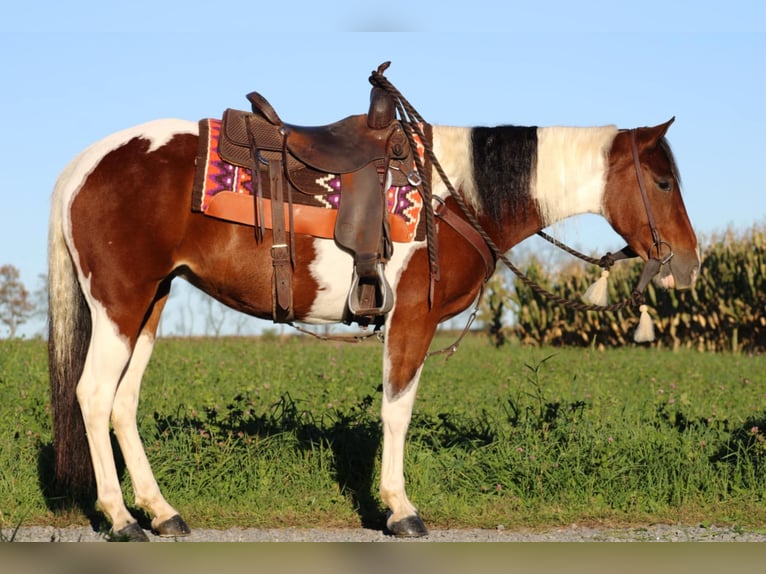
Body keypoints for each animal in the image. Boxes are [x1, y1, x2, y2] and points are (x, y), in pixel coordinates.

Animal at [45, 70, 700, 544]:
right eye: (664, 182)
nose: (690, 262)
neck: (454, 195)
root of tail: (84, 163)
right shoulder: (411, 319)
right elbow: (396, 412)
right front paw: (400, 509)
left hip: (150, 304)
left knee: (123, 403)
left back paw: (161, 512)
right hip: (120, 304)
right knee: (94, 395)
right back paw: (121, 520)